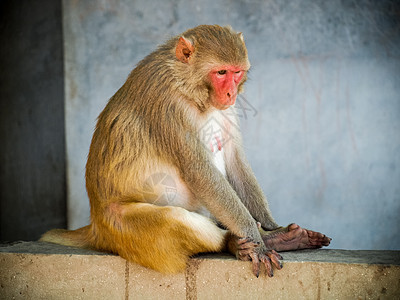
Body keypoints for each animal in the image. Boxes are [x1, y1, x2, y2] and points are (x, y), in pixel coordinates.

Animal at [41, 24, 332, 278]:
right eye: (221, 72)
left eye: (237, 72)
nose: (231, 93)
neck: (187, 85)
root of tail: (95, 226)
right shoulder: (168, 106)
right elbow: (198, 172)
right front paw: (256, 241)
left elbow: (235, 160)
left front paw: (271, 227)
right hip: (122, 229)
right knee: (172, 218)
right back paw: (234, 243)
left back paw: (279, 237)